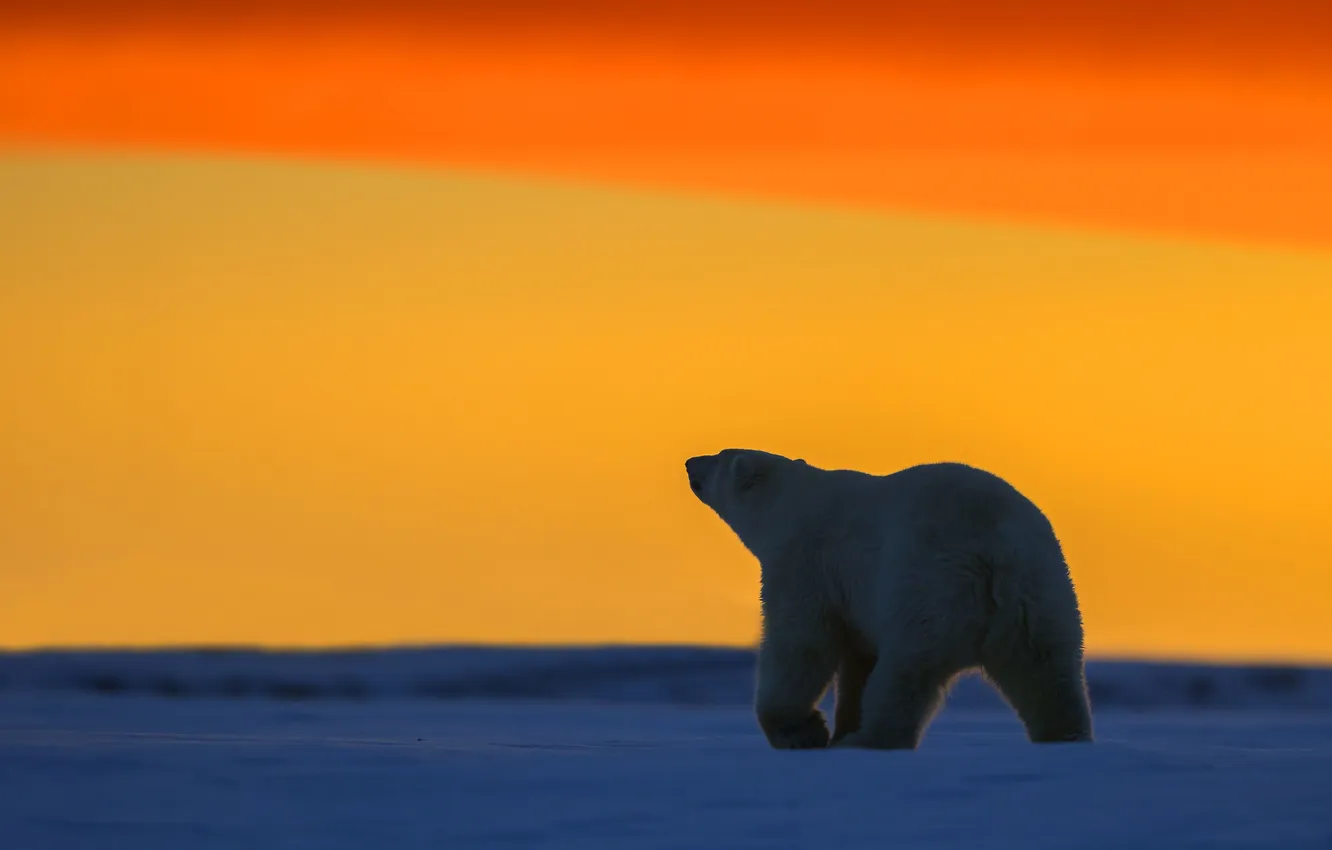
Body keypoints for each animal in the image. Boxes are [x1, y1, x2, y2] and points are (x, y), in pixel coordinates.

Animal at [684, 448, 1093, 751]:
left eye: (720, 455)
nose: (690, 462)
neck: (791, 506)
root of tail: (994, 547)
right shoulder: (857, 596)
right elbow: (858, 660)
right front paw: (838, 727)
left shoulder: (806, 564)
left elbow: (800, 643)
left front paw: (802, 731)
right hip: (1041, 590)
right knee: (1047, 668)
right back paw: (1066, 734)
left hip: (926, 583)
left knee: (907, 671)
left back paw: (869, 739)